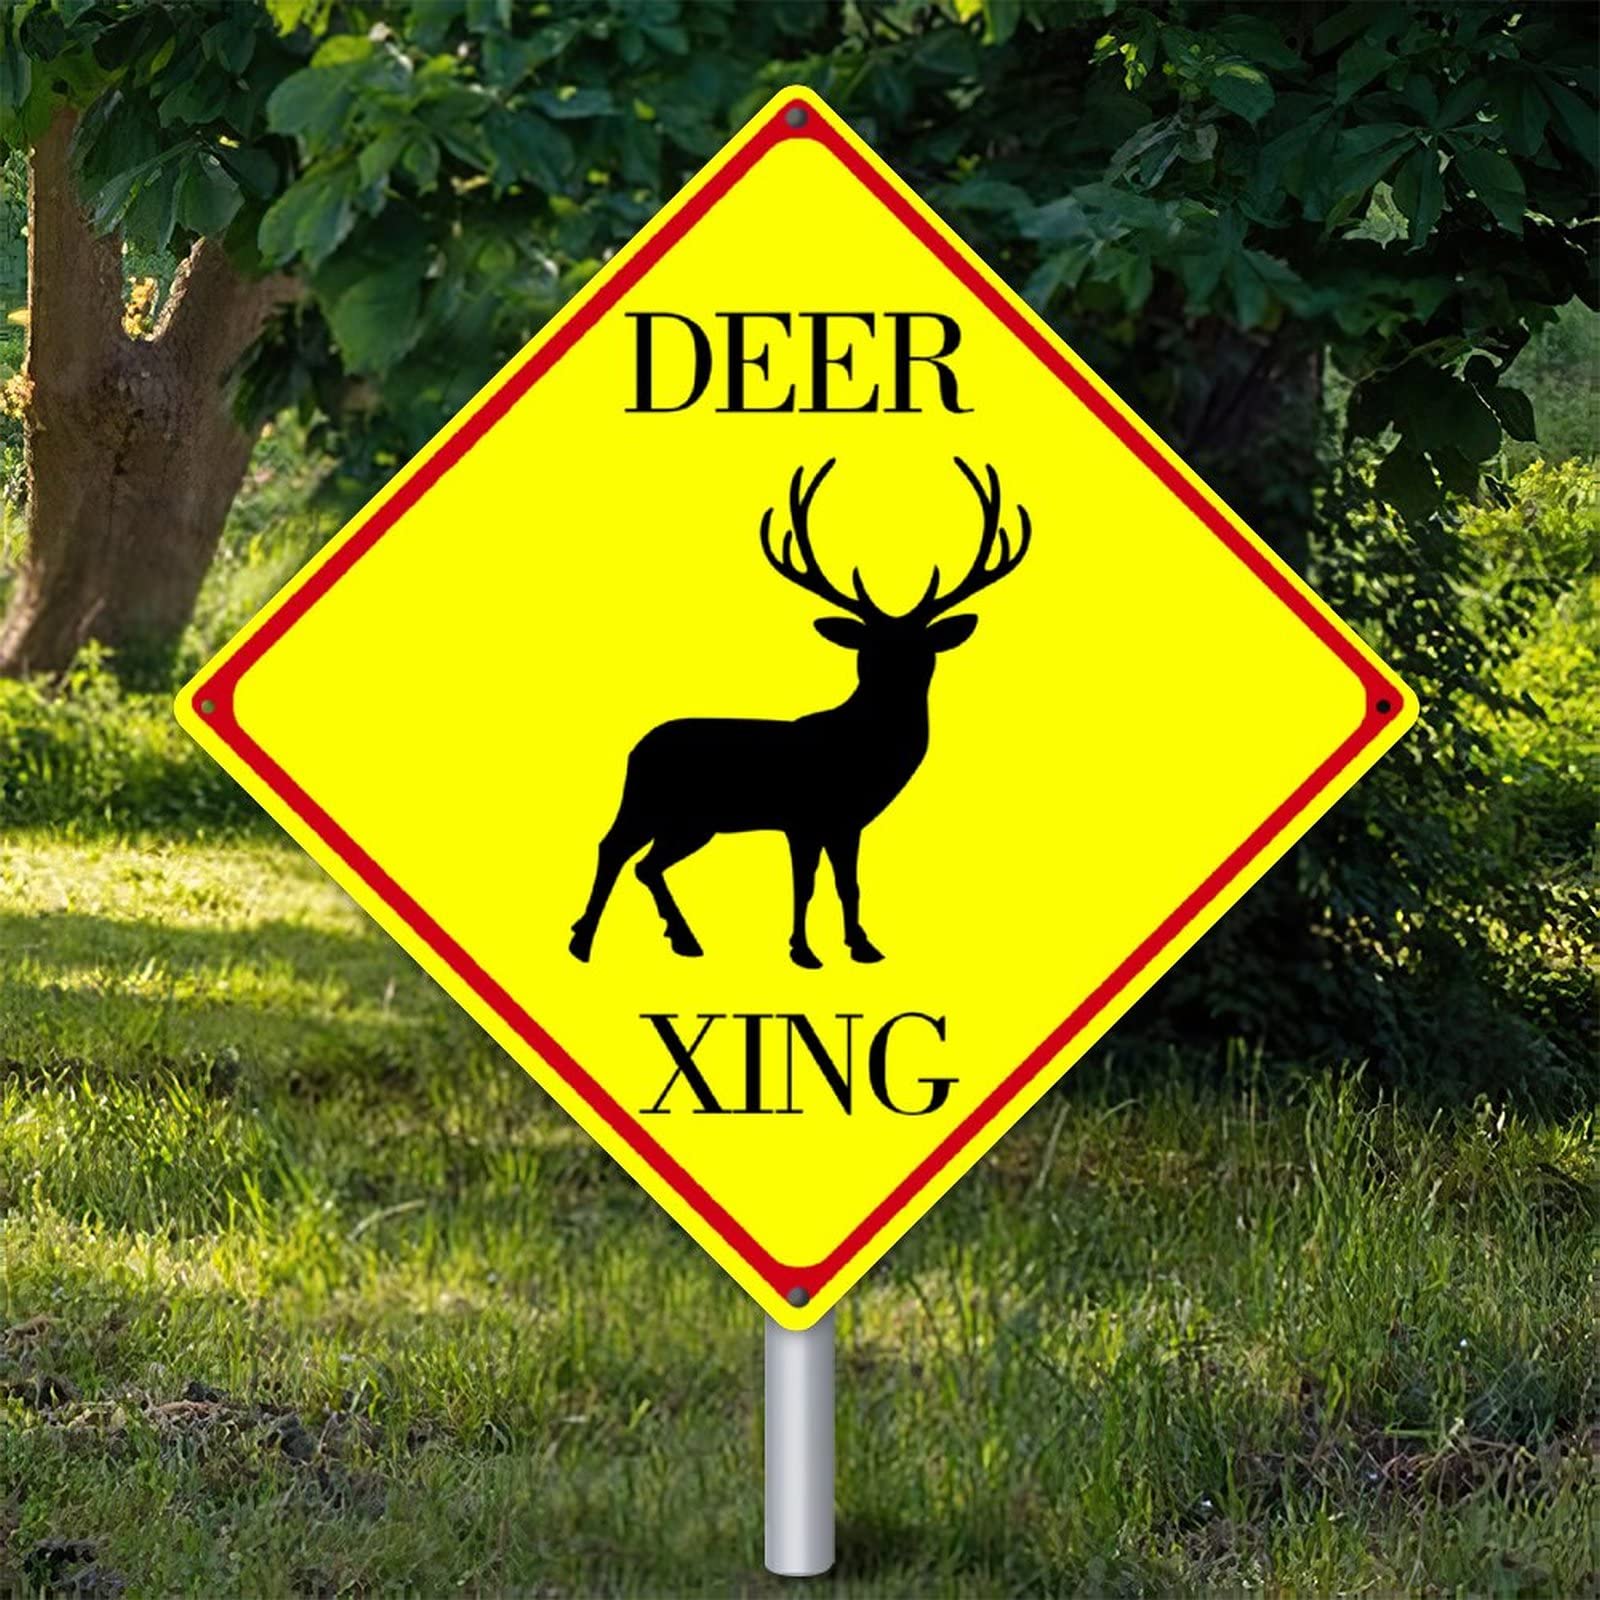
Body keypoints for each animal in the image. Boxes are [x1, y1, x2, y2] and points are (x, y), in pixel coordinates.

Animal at [568, 456, 1032, 968]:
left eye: (921, 649)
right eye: (869, 648)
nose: (897, 676)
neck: (865, 750)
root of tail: (636, 749)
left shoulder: (847, 822)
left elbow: (848, 885)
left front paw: (862, 946)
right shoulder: (805, 817)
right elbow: (805, 885)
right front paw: (804, 951)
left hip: (692, 822)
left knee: (645, 864)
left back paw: (681, 939)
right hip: (649, 802)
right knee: (613, 848)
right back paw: (584, 942)